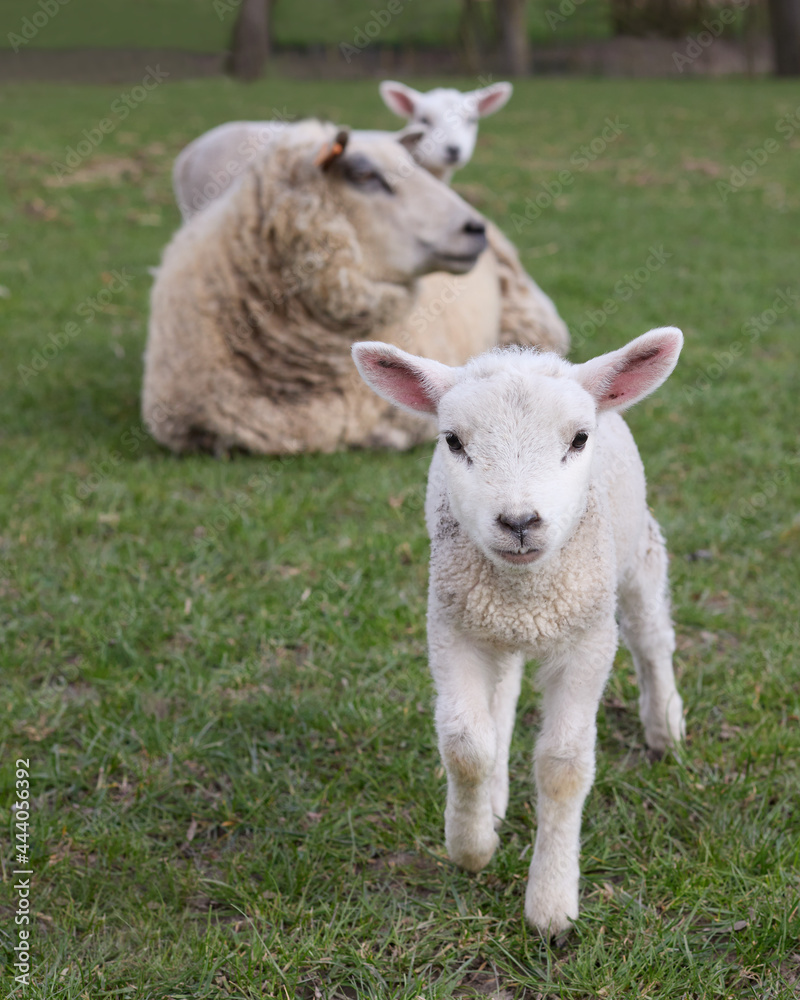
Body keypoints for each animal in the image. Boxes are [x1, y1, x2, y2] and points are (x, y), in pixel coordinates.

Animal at [356, 328, 688, 928]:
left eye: (579, 438)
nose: (518, 523)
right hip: (486, 621)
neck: (525, 592)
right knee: (503, 698)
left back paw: (665, 726)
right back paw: (494, 799)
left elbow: (563, 765)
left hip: (637, 554)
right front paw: (471, 845)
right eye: (453, 441)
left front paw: (551, 903)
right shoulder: (452, 628)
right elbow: (466, 745)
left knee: (652, 637)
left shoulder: (588, 641)